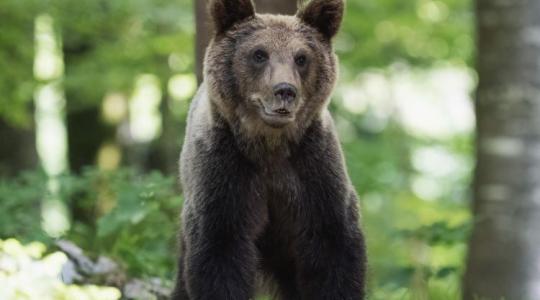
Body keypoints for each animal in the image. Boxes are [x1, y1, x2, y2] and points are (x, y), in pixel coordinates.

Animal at [173, 1, 368, 298]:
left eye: (301, 57)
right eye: (259, 54)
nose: (285, 90)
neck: (270, 146)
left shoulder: (315, 173)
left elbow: (334, 250)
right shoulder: (224, 175)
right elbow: (219, 254)